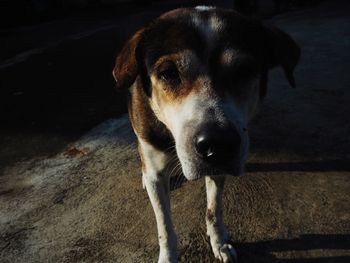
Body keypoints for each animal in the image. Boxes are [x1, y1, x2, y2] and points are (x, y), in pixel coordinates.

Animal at [113, 5, 300, 262]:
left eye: (245, 71)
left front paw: (219, 242)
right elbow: (164, 226)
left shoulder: (219, 167)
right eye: (169, 73)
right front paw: (168, 255)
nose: (218, 144)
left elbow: (214, 209)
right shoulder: (156, 168)